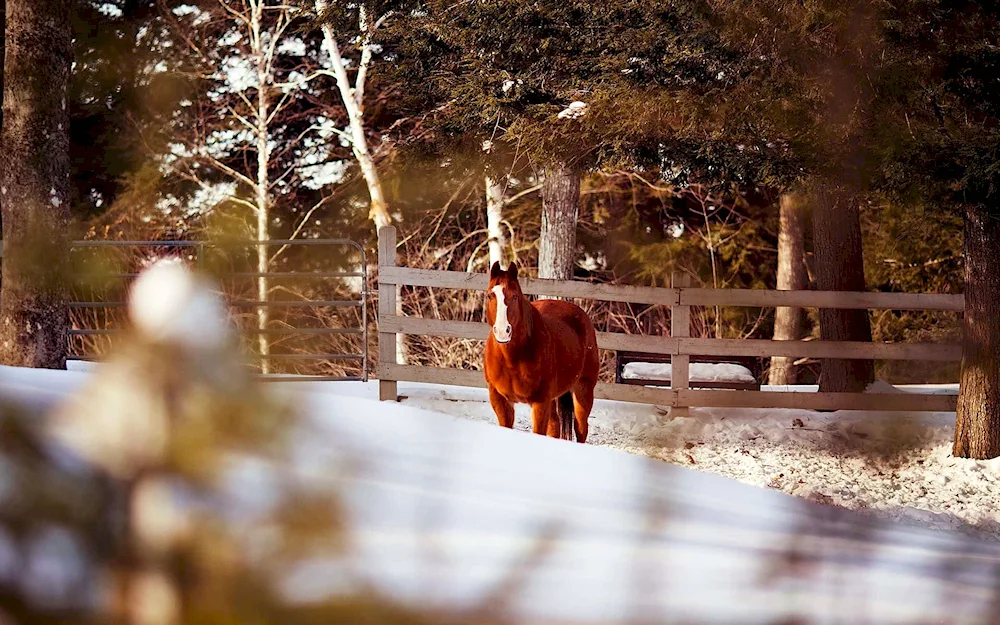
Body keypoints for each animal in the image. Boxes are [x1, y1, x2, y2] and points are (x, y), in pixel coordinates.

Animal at [482, 260, 596, 442]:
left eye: (515, 296)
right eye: (490, 296)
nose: (502, 331)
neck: (512, 359)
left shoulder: (540, 402)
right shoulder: (499, 400)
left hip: (583, 390)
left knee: (581, 429)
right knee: (555, 426)